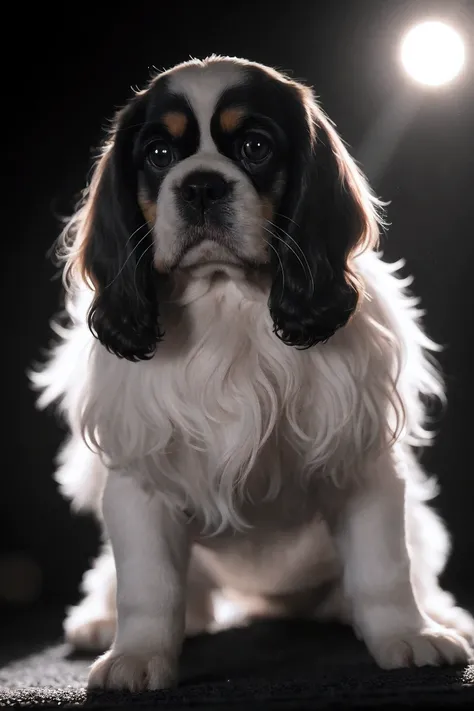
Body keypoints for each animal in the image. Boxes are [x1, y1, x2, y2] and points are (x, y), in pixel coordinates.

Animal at [30, 58, 474, 692]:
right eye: (159, 155)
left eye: (255, 147)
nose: (201, 184)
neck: (228, 300)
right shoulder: (142, 478)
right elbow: (149, 585)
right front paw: (136, 654)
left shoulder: (362, 462)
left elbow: (384, 568)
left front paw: (407, 636)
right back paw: (100, 618)